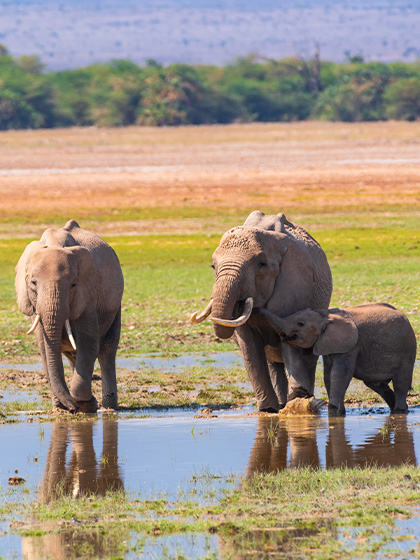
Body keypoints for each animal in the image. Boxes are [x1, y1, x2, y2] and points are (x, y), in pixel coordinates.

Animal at [15, 221, 124, 414]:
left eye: (74, 284)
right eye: (33, 283)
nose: (72, 408)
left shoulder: (87, 296)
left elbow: (88, 343)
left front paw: (83, 404)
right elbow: (45, 348)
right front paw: (63, 408)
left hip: (114, 305)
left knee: (107, 351)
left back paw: (108, 408)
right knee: (73, 354)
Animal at [190, 210, 332, 412]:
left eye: (261, 265)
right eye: (213, 266)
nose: (257, 309)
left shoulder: (296, 285)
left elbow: (292, 343)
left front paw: (298, 402)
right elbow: (249, 348)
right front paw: (268, 410)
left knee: (308, 356)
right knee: (274, 364)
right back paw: (280, 405)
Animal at [256, 302, 416, 416]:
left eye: (300, 324)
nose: (255, 308)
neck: (325, 315)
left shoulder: (351, 345)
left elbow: (340, 373)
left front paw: (333, 411)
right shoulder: (328, 344)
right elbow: (328, 375)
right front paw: (336, 410)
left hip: (407, 350)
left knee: (401, 381)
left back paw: (400, 411)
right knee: (376, 384)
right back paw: (397, 409)